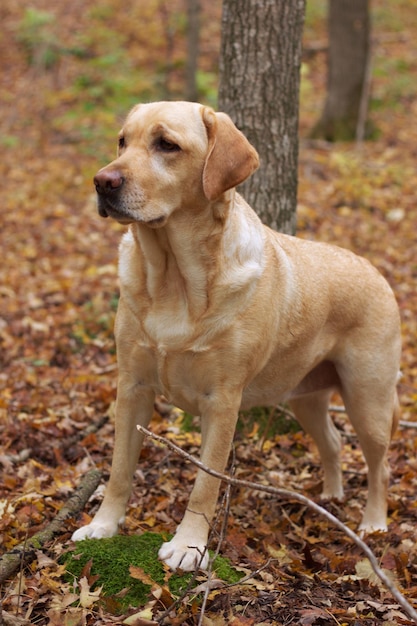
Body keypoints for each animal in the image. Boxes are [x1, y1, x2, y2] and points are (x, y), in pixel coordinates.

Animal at [71, 101, 400, 572]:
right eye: (122, 141)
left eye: (166, 145)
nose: (102, 182)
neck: (174, 279)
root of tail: (376, 271)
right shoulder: (132, 387)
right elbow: (118, 470)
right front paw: (103, 526)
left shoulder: (222, 401)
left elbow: (204, 484)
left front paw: (188, 547)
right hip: (305, 398)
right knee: (334, 443)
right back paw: (331, 497)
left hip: (368, 397)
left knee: (380, 464)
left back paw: (373, 522)